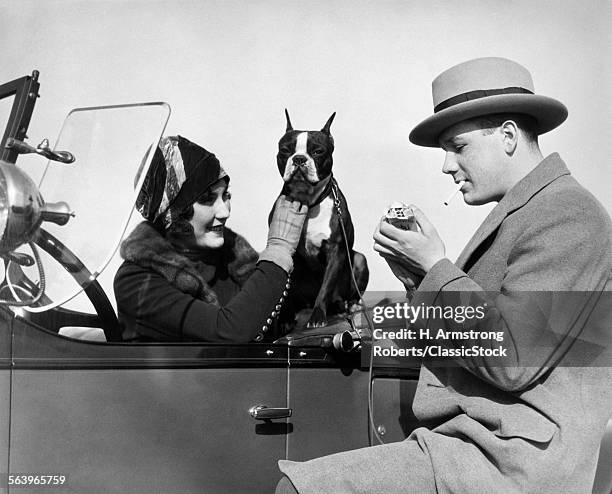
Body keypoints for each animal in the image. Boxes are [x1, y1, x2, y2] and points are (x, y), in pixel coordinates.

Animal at [274, 110, 370, 330]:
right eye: (285, 150)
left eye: (318, 151)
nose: (299, 159)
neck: (309, 202)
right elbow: (285, 291)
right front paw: (284, 319)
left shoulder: (336, 251)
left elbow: (325, 288)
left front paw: (317, 316)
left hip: (359, 260)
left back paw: (349, 305)